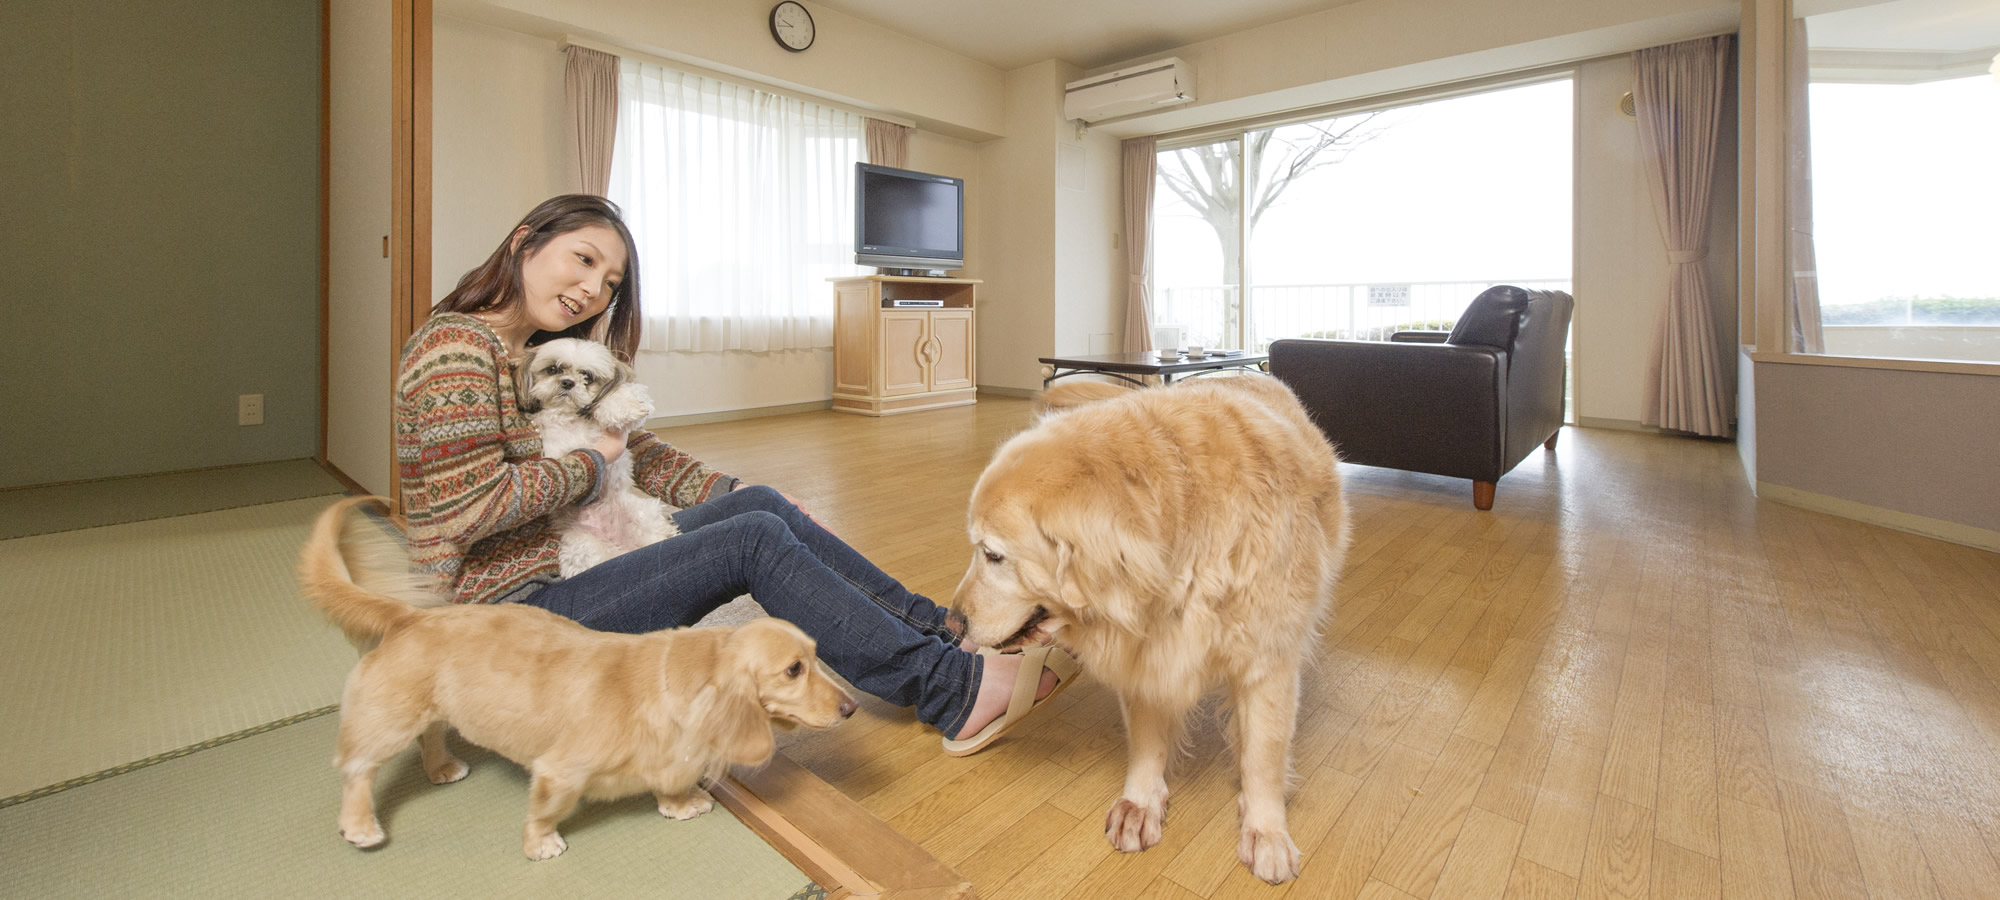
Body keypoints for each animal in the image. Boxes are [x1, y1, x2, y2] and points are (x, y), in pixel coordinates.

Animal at [520, 338, 676, 576]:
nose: (567, 382)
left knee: (653, 532)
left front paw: (621, 408)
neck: (569, 417)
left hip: (641, 512)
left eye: (587, 376)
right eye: (553, 369)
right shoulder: (552, 447)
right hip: (581, 546)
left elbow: (621, 397)